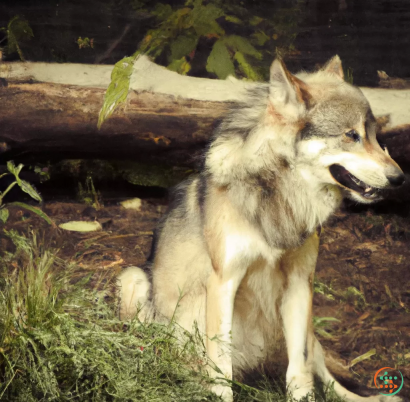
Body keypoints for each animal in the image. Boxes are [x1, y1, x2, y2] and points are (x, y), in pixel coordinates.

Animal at [117, 56, 406, 402]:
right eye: (351, 135)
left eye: (376, 136)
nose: (400, 178)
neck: (281, 197)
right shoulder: (223, 282)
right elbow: (222, 371)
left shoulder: (300, 283)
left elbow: (299, 372)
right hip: (132, 279)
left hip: (309, 329)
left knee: (324, 374)